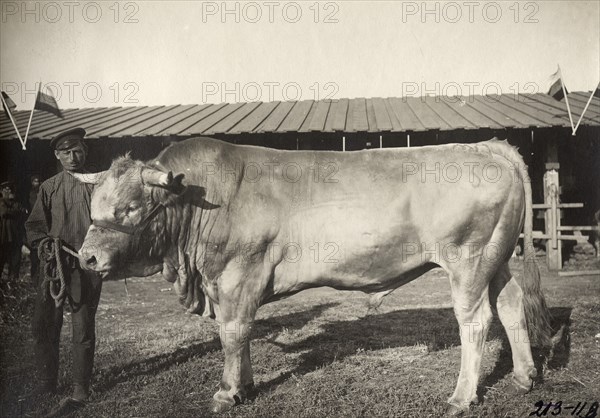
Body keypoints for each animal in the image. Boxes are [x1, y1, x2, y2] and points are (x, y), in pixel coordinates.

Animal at [81, 137, 552, 414]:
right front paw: (245, 385)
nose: (86, 257)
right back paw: (524, 376)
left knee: (475, 322)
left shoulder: (237, 276)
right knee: (511, 305)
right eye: (94, 204)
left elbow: (233, 333)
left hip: (469, 261)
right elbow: (243, 334)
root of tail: (486, 146)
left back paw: (461, 397)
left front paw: (227, 391)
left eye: (130, 208)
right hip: (496, 259)